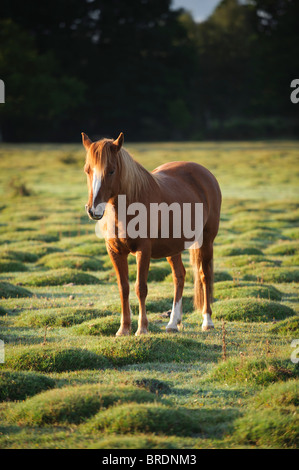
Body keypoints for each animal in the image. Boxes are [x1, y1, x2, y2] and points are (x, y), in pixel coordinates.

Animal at [82, 132, 223, 336]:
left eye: (111, 171)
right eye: (87, 170)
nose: (93, 210)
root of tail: (205, 173)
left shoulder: (143, 250)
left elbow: (140, 288)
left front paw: (142, 328)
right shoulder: (115, 252)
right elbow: (123, 288)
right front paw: (124, 329)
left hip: (206, 241)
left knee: (205, 275)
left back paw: (207, 321)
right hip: (173, 247)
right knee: (179, 276)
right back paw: (173, 323)